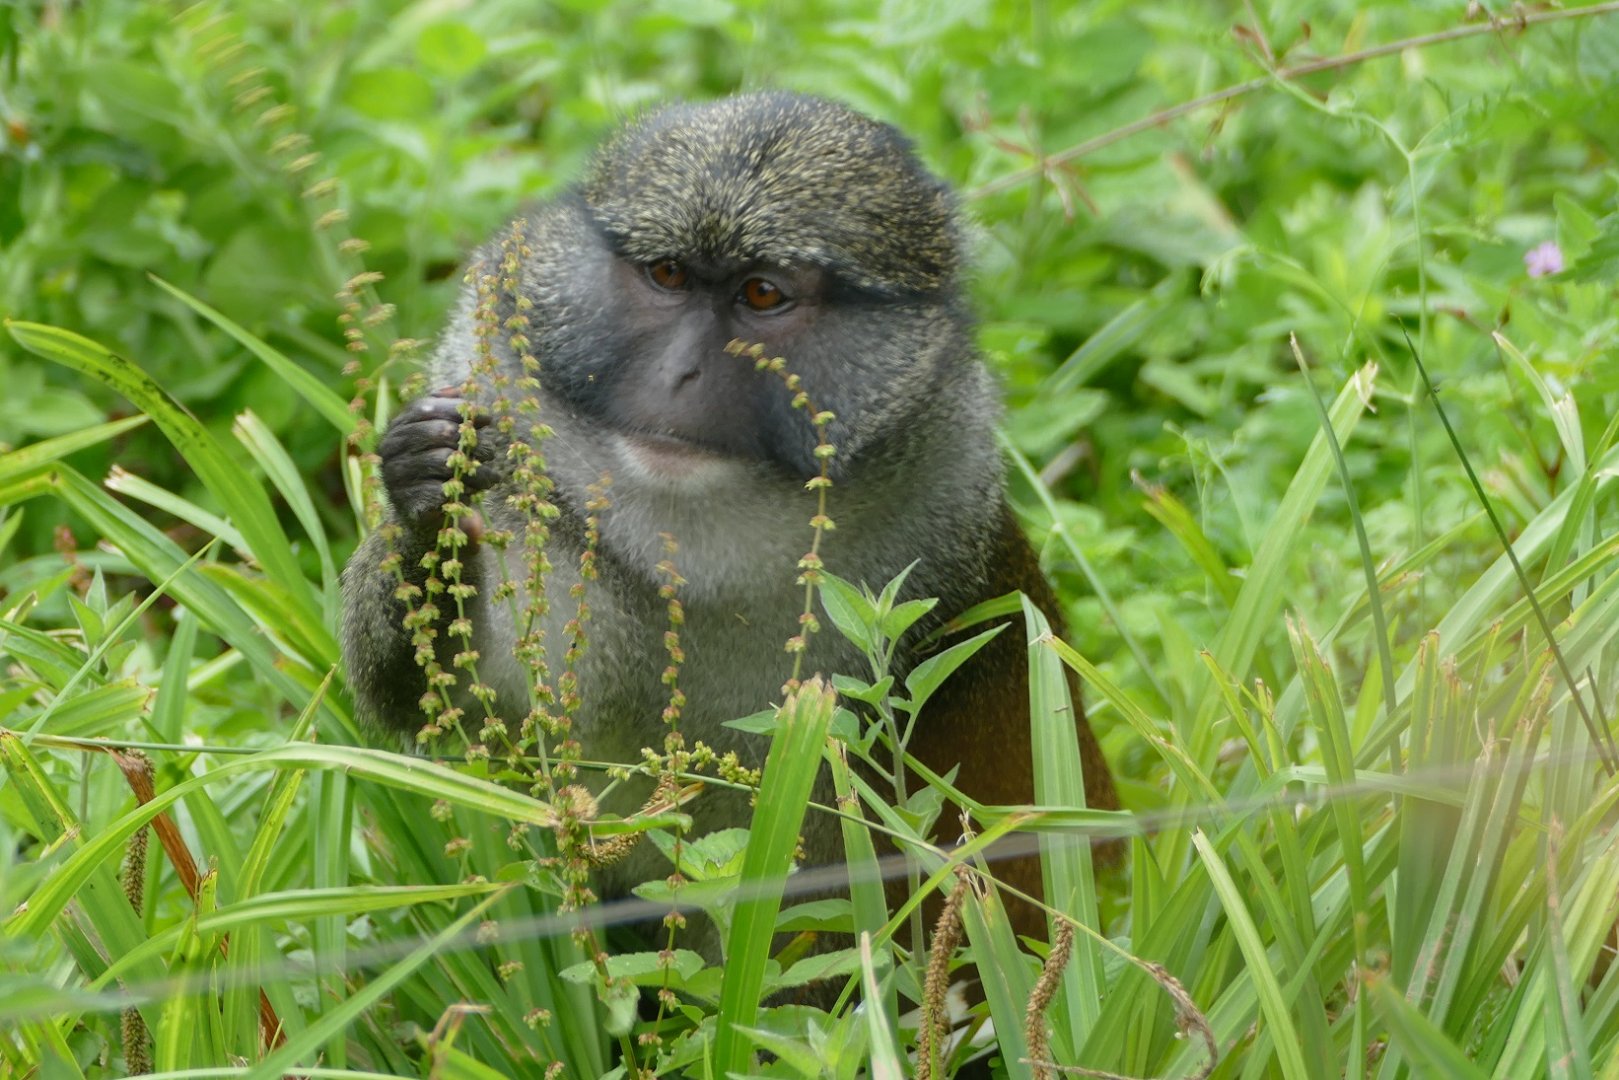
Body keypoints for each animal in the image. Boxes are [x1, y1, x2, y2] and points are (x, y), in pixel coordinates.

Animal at [340, 91, 1119, 947]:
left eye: (762, 294)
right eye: (667, 274)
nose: (680, 372)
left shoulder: (951, 560)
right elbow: (452, 702)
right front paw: (422, 490)